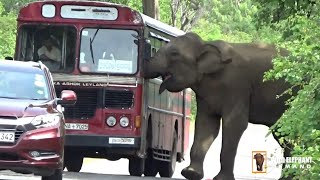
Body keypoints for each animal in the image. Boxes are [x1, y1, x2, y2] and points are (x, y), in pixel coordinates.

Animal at [142, 32, 296, 180]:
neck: (204, 44)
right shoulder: (206, 94)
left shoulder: (238, 87)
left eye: (174, 54)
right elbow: (206, 124)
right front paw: (190, 173)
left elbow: (234, 125)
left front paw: (221, 178)